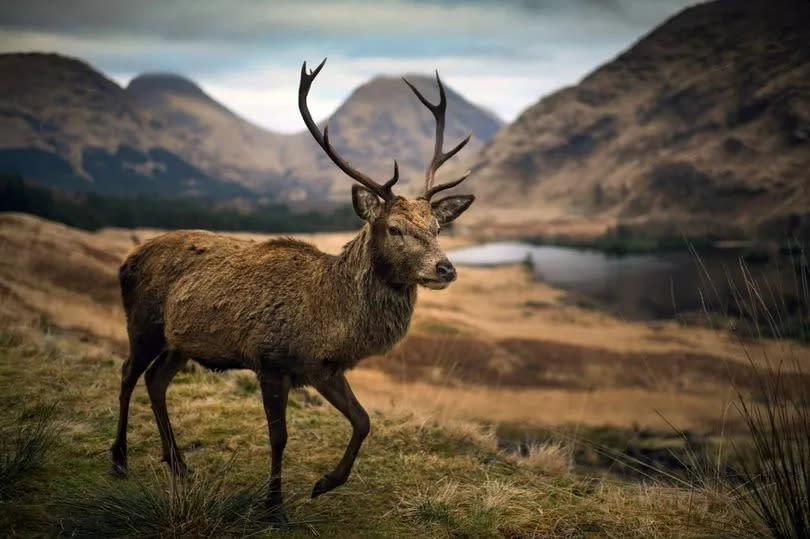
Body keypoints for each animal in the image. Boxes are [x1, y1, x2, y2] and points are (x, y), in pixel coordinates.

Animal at [108, 58, 474, 524]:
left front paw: (325, 483)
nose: (446, 268)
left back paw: (179, 463)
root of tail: (127, 261)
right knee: (127, 373)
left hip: (180, 343)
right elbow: (279, 437)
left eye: (437, 227)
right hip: (143, 323)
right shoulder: (271, 361)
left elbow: (363, 420)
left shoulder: (323, 369)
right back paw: (120, 460)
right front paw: (273, 506)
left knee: (156, 380)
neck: (329, 320)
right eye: (395, 228)